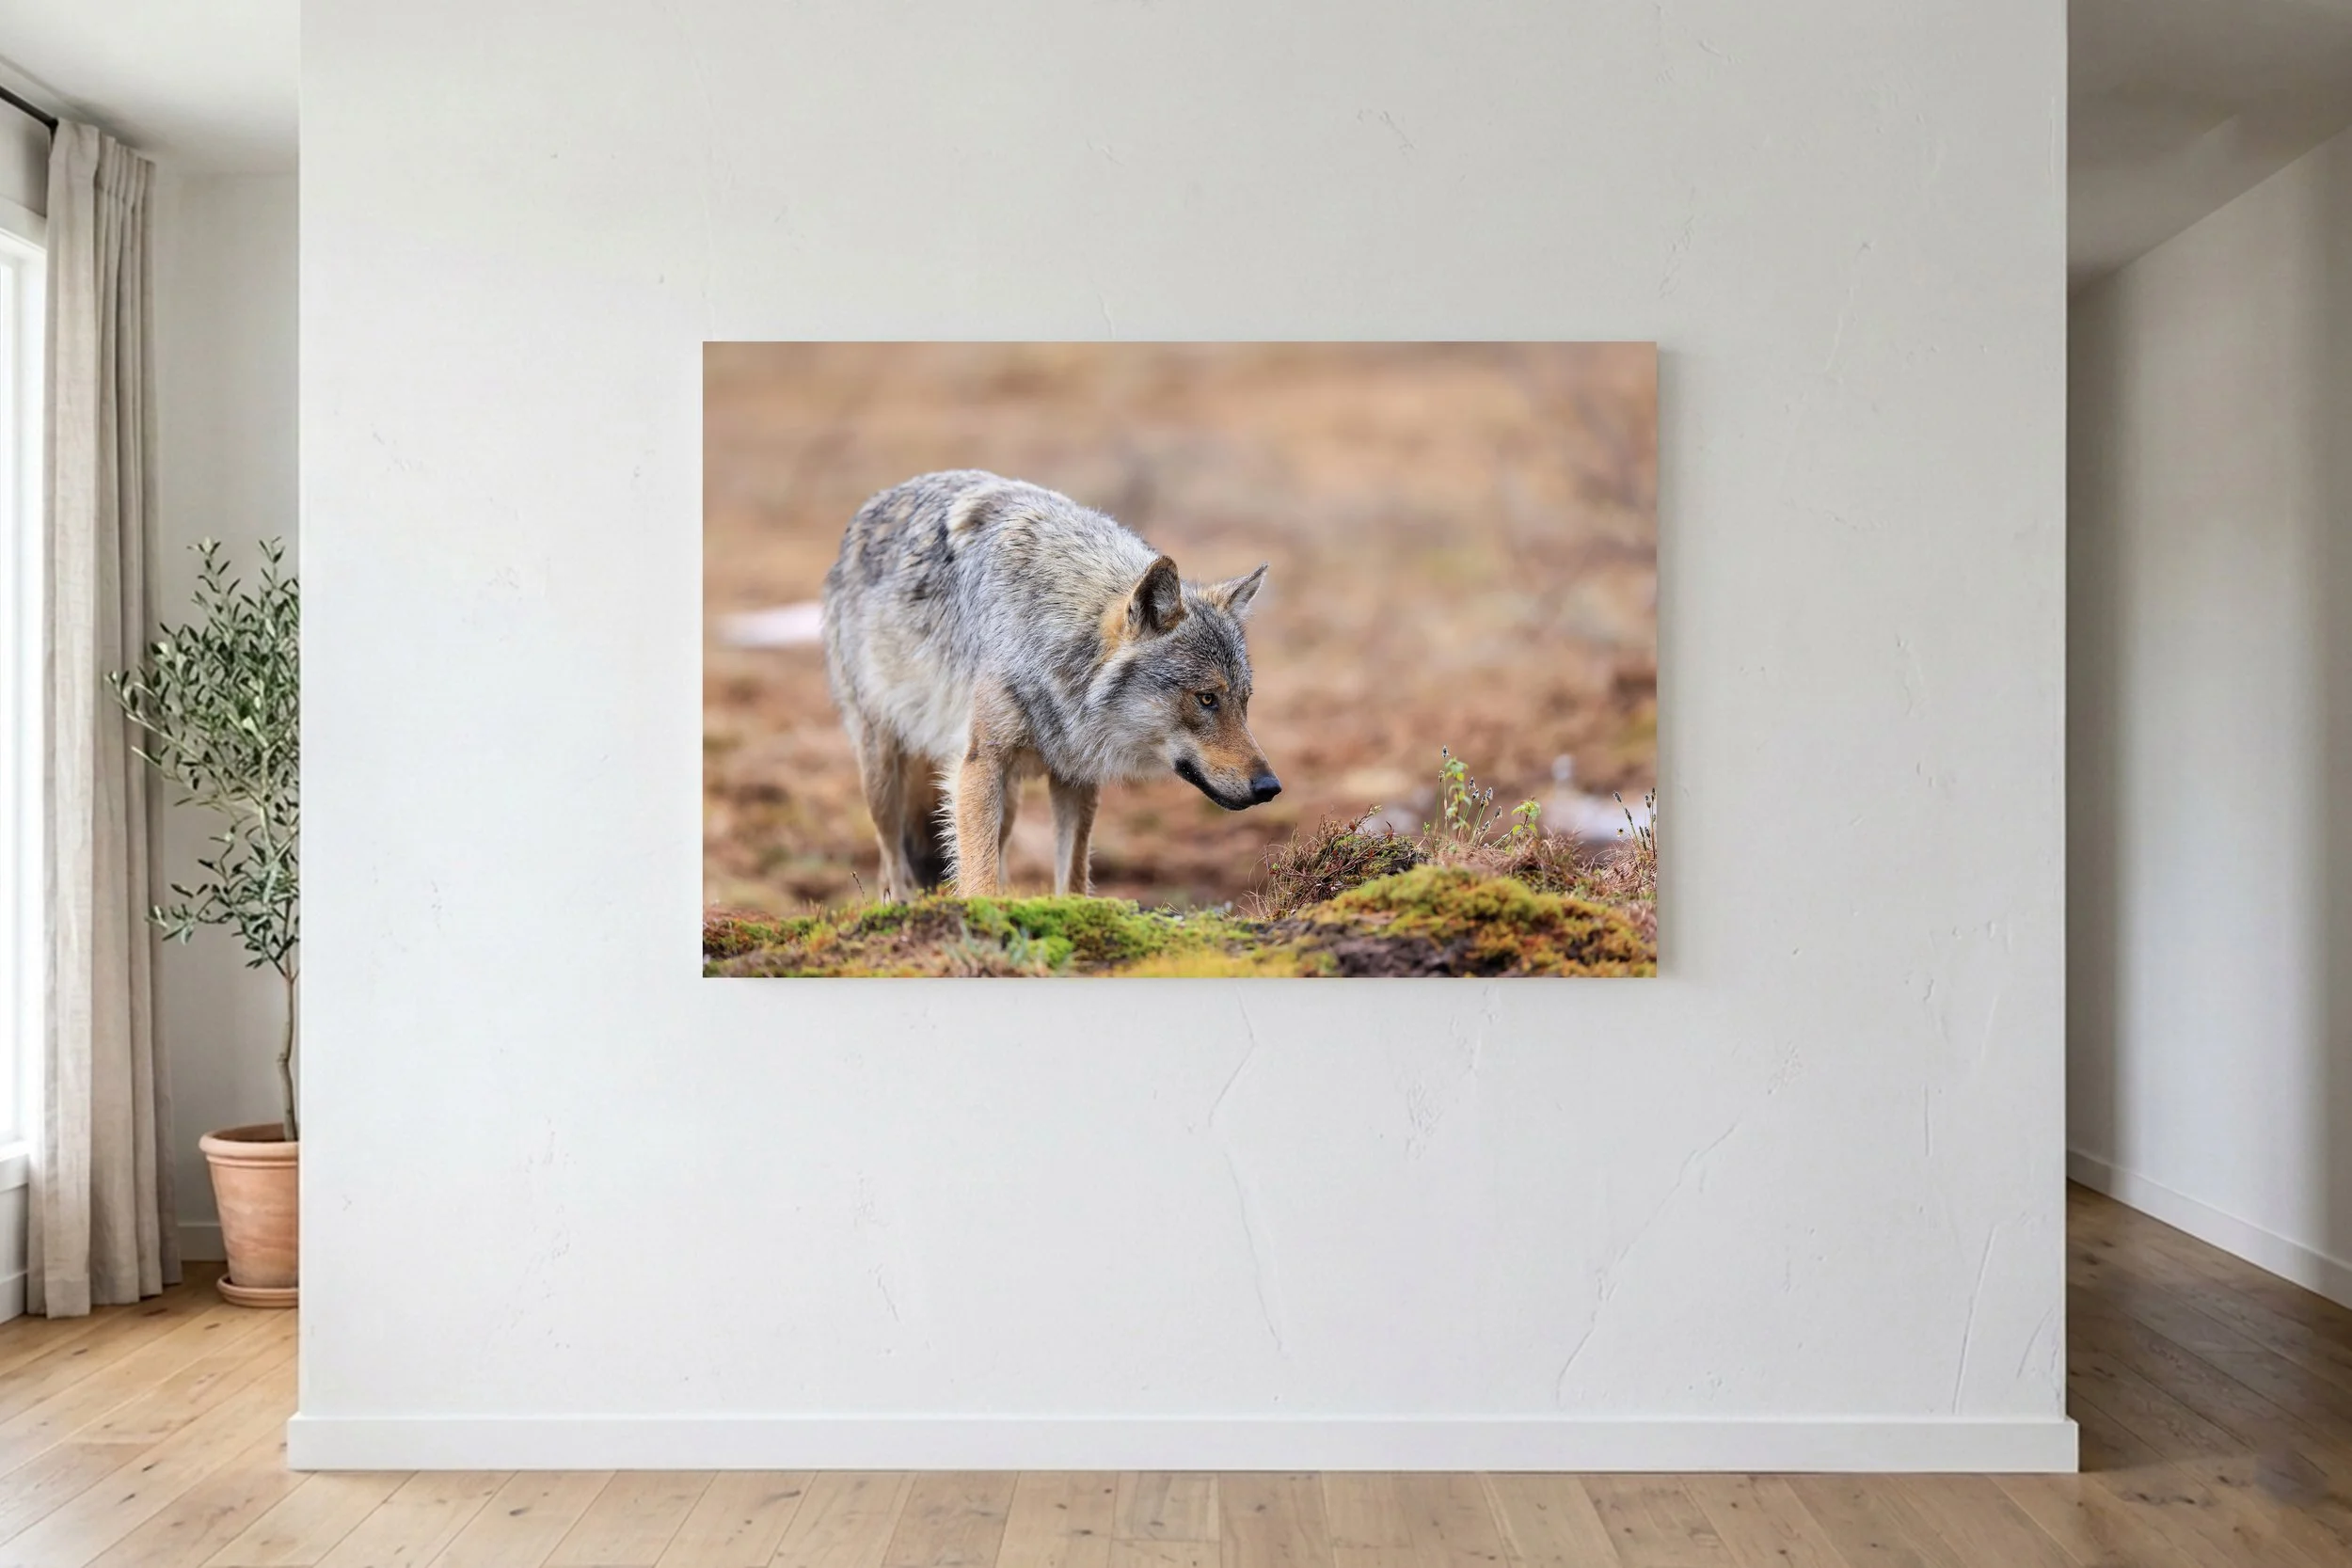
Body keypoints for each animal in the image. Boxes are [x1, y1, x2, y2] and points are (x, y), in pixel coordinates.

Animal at [822, 470, 1281, 900]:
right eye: (1206, 699)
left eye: (1244, 702)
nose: (1270, 787)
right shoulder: (980, 765)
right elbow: (978, 879)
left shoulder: (1075, 777)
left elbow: (1072, 878)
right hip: (884, 775)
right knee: (892, 864)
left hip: (1006, 800)